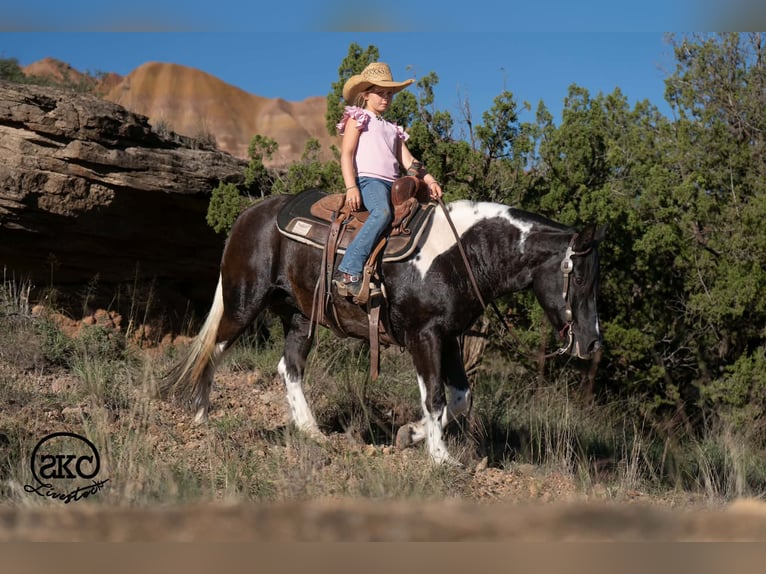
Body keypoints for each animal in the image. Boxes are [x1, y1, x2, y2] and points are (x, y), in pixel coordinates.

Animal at [160, 190, 607, 465]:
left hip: (300, 316)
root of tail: (250, 215)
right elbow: (435, 397)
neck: (458, 255)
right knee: (214, 351)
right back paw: (200, 415)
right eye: (582, 278)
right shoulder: (424, 336)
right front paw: (441, 458)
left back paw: (311, 431)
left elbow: (460, 398)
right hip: (245, 301)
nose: (591, 344)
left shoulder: (450, 337)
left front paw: (410, 435)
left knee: (290, 367)